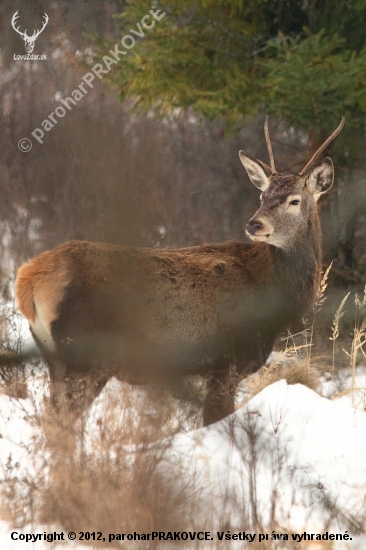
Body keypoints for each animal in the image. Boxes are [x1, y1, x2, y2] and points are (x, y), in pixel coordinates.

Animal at [16, 117, 344, 426]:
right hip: (85, 355)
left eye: (294, 200)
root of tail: (28, 279)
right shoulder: (229, 363)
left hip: (54, 356)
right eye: (262, 197)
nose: (255, 224)